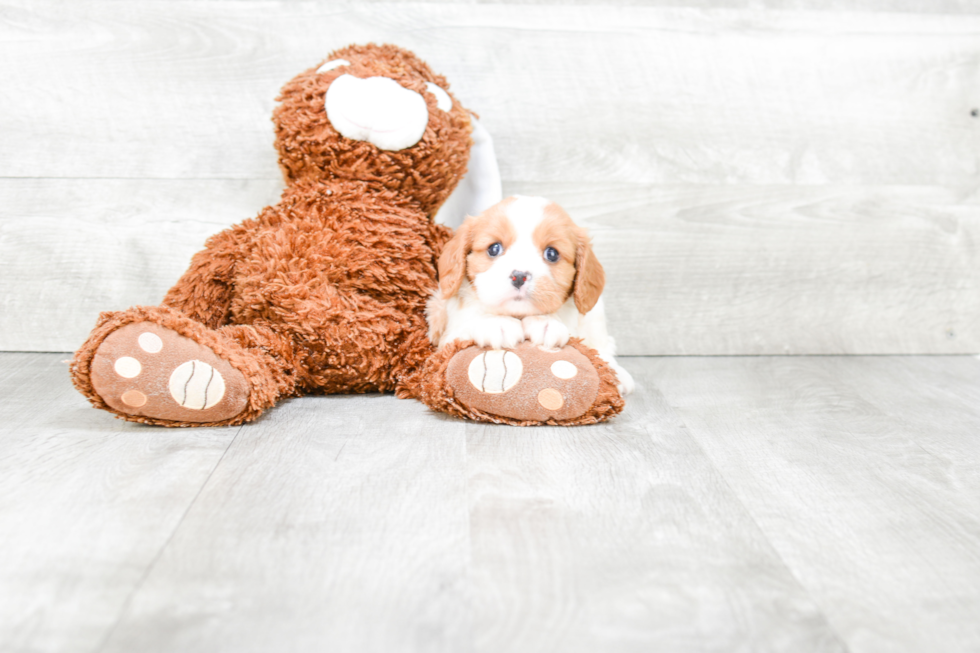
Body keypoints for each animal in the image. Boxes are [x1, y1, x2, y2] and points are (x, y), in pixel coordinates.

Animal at [426, 194, 636, 394]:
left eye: (552, 254)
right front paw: (496, 322)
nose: (519, 276)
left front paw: (545, 322)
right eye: (494, 248)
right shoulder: (448, 335)